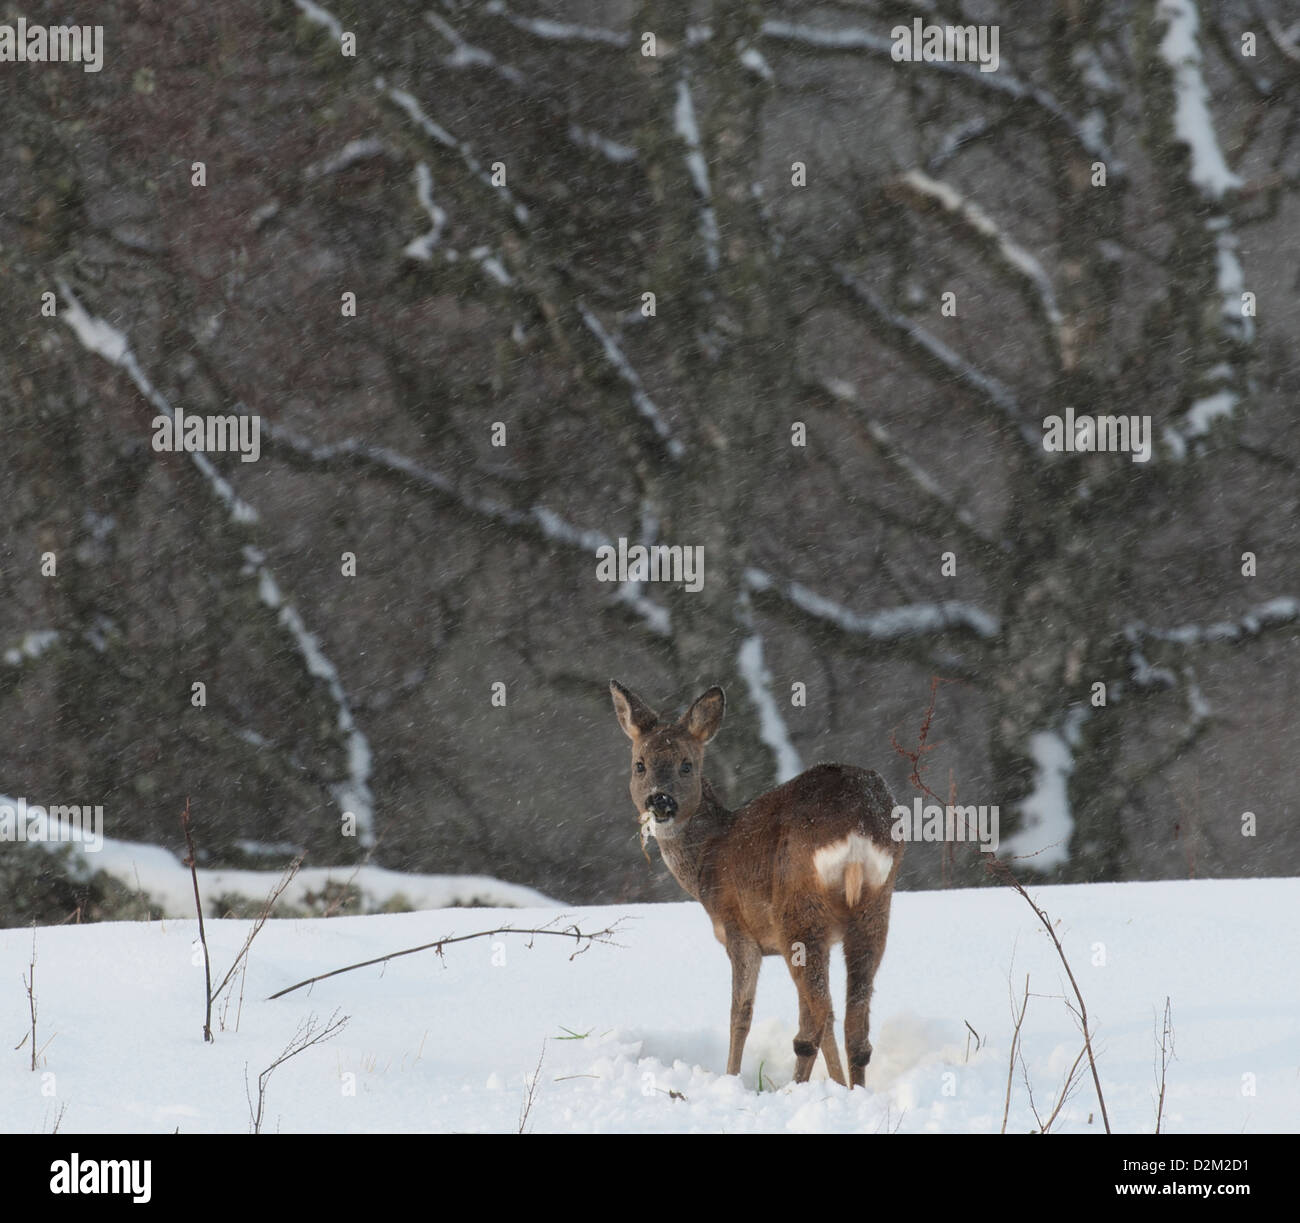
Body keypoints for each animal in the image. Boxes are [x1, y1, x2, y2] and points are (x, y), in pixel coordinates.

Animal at [611, 675, 904, 1086]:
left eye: (687, 765)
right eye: (640, 764)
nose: (660, 801)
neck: (709, 855)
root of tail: (857, 823)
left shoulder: (738, 929)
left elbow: (741, 1015)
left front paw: (730, 1076)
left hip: (797, 909)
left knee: (818, 1018)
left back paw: (810, 1087)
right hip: (875, 905)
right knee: (850, 1023)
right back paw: (851, 1089)